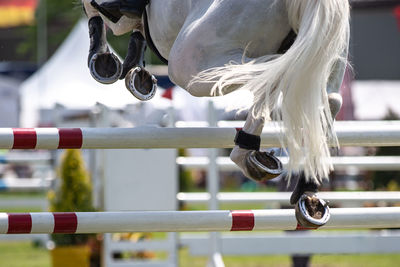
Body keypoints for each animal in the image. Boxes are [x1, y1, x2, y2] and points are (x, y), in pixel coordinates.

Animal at [82, 0, 350, 227]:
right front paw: (135, 72)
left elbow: (94, 8)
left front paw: (103, 59)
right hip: (328, 49)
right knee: (325, 96)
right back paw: (306, 191)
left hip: (191, 61)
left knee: (277, 75)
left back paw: (247, 153)